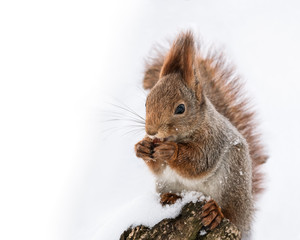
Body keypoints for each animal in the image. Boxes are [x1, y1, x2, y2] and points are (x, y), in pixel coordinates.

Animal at [135, 31, 266, 237]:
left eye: (180, 108)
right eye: (147, 101)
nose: (151, 131)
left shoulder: (213, 140)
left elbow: (199, 162)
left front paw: (171, 151)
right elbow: (158, 168)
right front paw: (142, 147)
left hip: (233, 183)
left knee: (230, 212)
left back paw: (215, 213)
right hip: (165, 183)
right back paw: (170, 197)